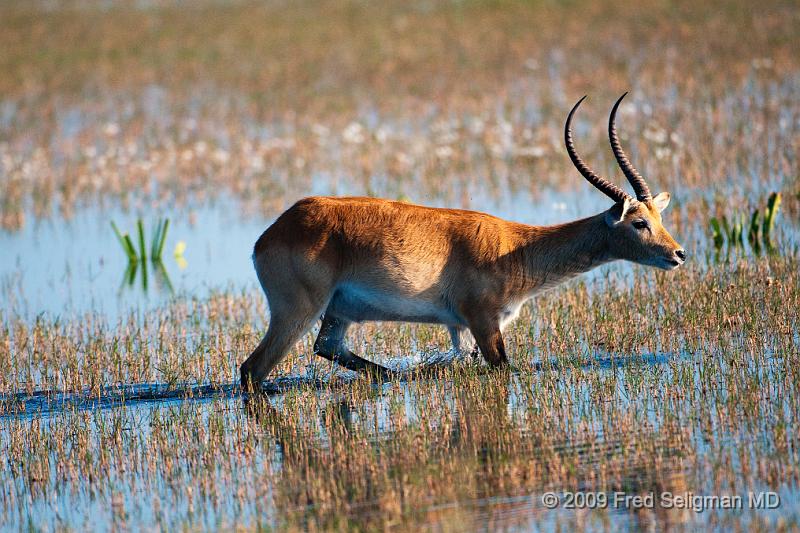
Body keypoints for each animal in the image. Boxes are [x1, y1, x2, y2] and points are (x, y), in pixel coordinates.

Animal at [241, 93, 684, 386]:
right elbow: (504, 368)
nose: (678, 253)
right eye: (638, 223)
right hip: (297, 312)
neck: (515, 247)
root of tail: (271, 233)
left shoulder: (463, 328)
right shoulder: (483, 322)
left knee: (329, 349)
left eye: (658, 216)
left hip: (337, 314)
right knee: (252, 370)